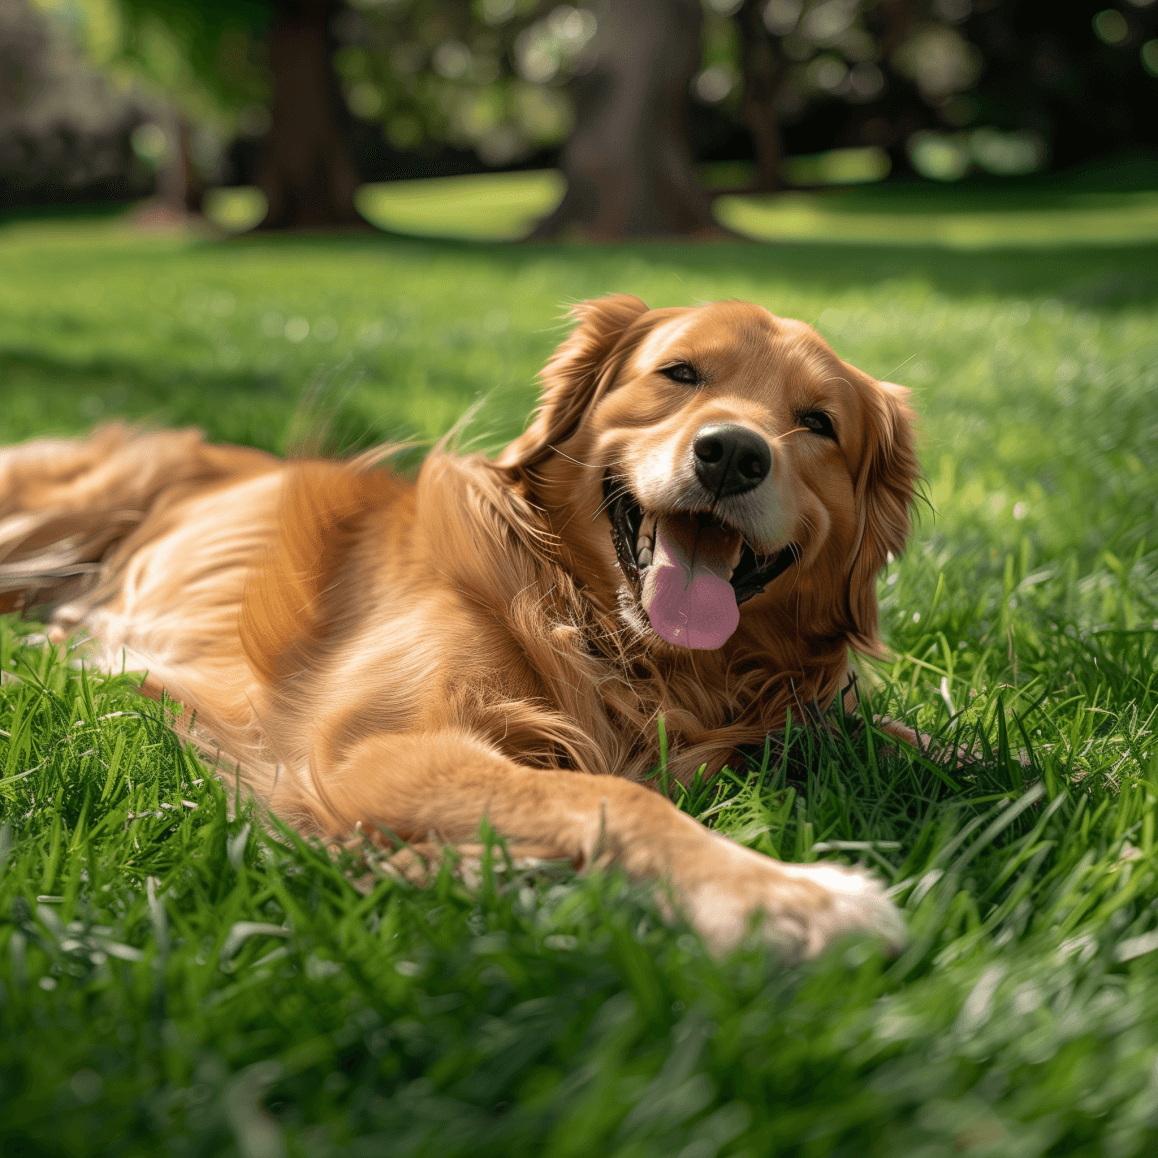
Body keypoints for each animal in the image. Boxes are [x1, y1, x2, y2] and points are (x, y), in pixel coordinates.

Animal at [2, 296, 921, 958]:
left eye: (818, 423)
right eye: (681, 372)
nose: (732, 454)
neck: (607, 635)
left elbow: (915, 740)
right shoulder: (379, 748)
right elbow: (610, 793)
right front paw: (783, 897)